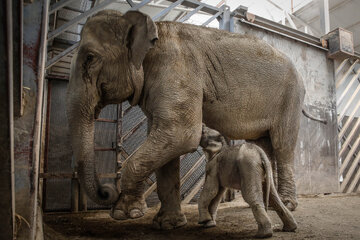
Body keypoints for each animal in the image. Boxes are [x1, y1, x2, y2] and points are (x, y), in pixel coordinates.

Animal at [66, 9, 316, 230]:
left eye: (90, 58)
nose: (107, 191)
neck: (152, 27)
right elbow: (166, 141)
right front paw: (167, 224)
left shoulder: (176, 70)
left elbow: (180, 135)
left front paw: (125, 213)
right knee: (264, 144)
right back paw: (268, 203)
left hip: (290, 98)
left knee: (283, 145)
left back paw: (287, 204)